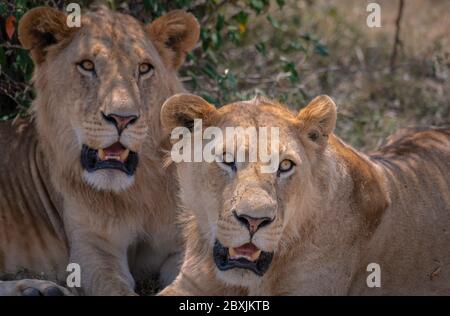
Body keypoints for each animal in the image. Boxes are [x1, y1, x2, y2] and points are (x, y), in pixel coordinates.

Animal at [0, 6, 200, 296]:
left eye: (144, 69)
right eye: (87, 65)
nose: (122, 118)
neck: (136, 194)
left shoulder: (182, 245)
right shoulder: (92, 253)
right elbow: (115, 288)